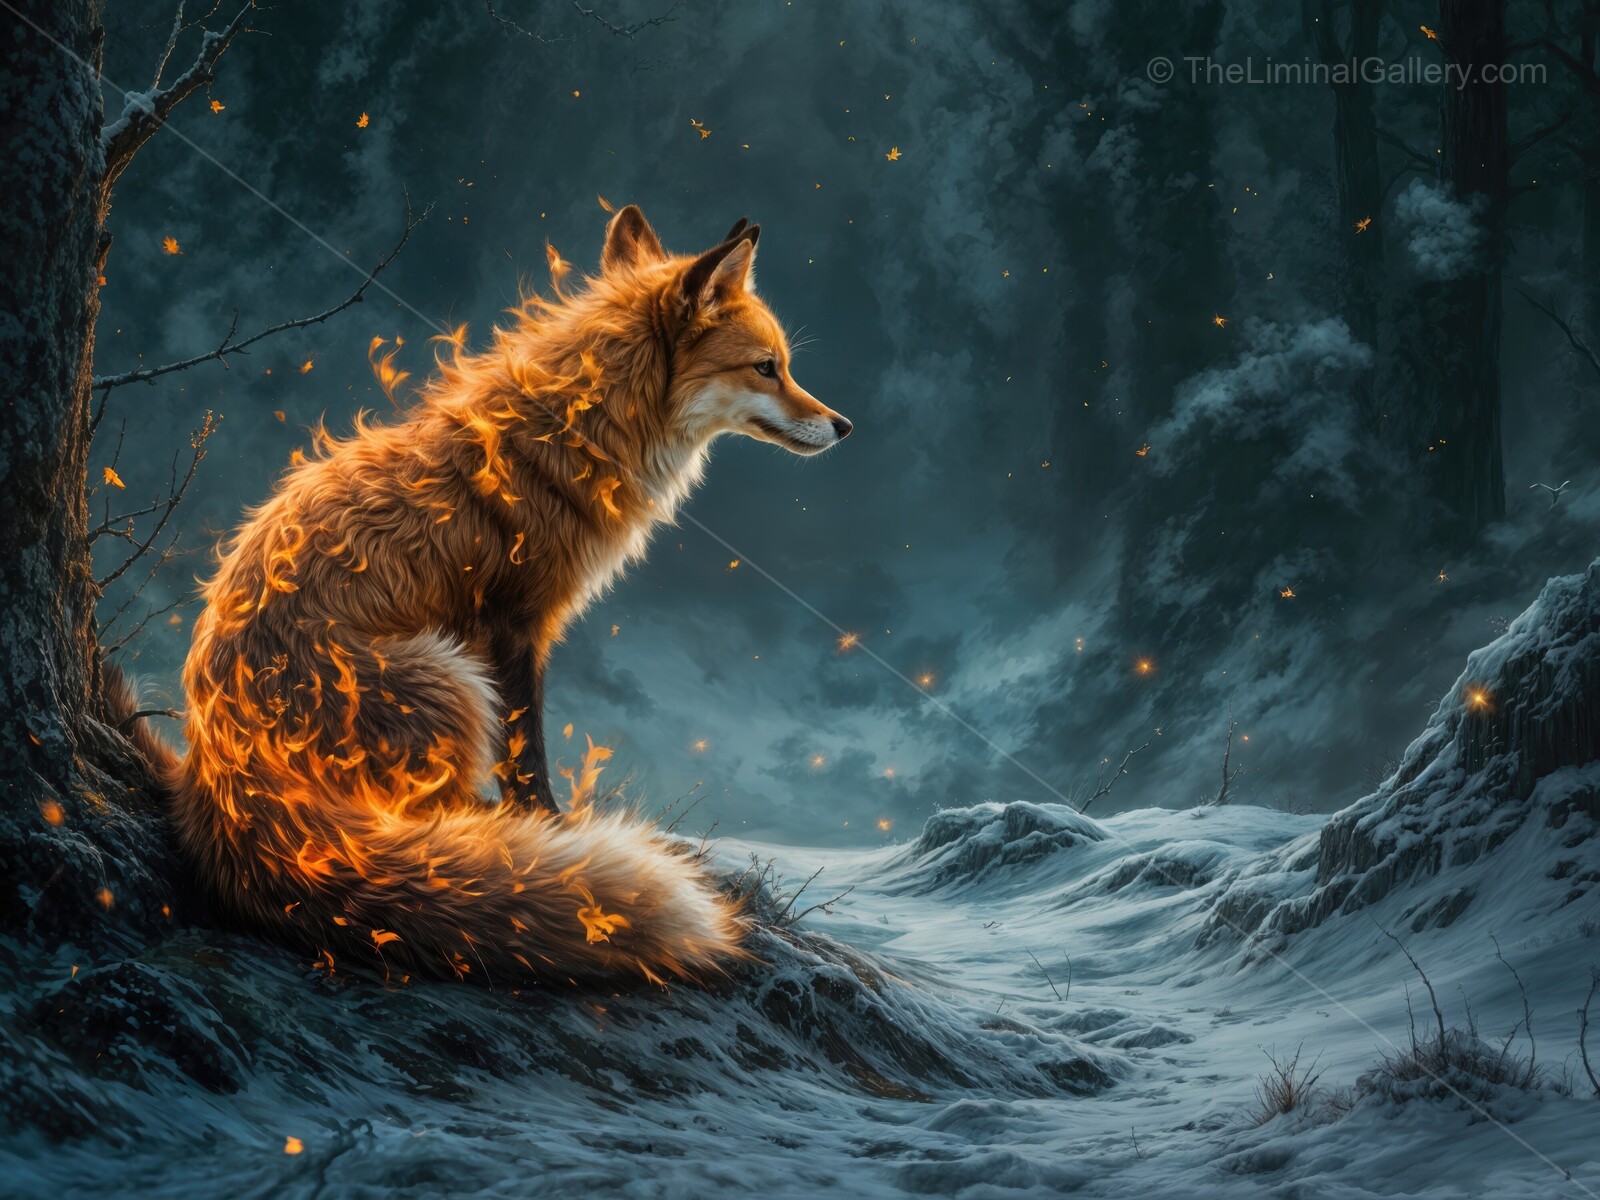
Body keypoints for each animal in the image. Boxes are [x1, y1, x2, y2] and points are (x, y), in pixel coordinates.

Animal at [150, 206, 852, 987]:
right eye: (767, 368)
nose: (843, 425)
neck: (576, 430)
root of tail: (219, 773)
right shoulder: (514, 622)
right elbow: (528, 755)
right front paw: (549, 829)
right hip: (451, 681)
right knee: (423, 817)